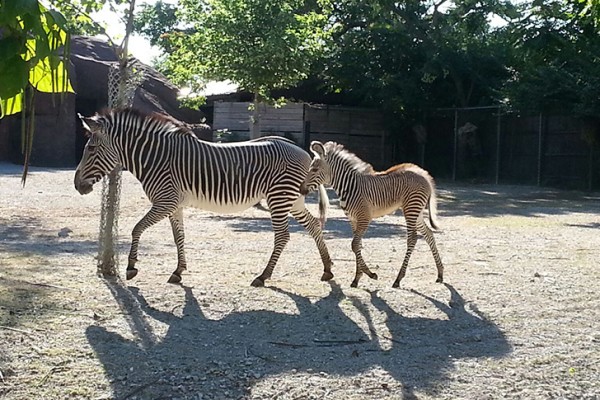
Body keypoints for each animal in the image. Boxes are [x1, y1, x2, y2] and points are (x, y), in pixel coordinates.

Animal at [74, 108, 332, 286]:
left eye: (90, 149)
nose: (77, 185)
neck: (154, 158)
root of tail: (302, 151)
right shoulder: (174, 204)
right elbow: (179, 236)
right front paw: (178, 271)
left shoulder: (165, 201)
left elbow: (137, 228)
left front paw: (130, 267)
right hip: (294, 198)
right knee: (313, 225)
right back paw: (327, 269)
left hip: (279, 197)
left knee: (283, 236)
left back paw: (263, 276)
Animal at [300, 141, 446, 288]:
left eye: (314, 170)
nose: (301, 190)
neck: (349, 186)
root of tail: (422, 173)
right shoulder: (353, 219)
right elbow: (358, 245)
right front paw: (357, 278)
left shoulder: (364, 218)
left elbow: (354, 245)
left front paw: (369, 274)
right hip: (417, 211)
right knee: (428, 234)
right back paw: (440, 273)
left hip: (411, 209)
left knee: (412, 239)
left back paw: (398, 279)